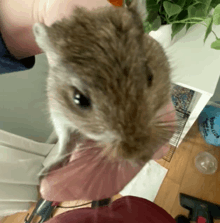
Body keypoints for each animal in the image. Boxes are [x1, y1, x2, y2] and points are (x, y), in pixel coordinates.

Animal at [33, 0, 177, 174]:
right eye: (78, 99)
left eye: (150, 76)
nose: (141, 155)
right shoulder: (60, 116)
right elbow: (66, 143)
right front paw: (45, 172)